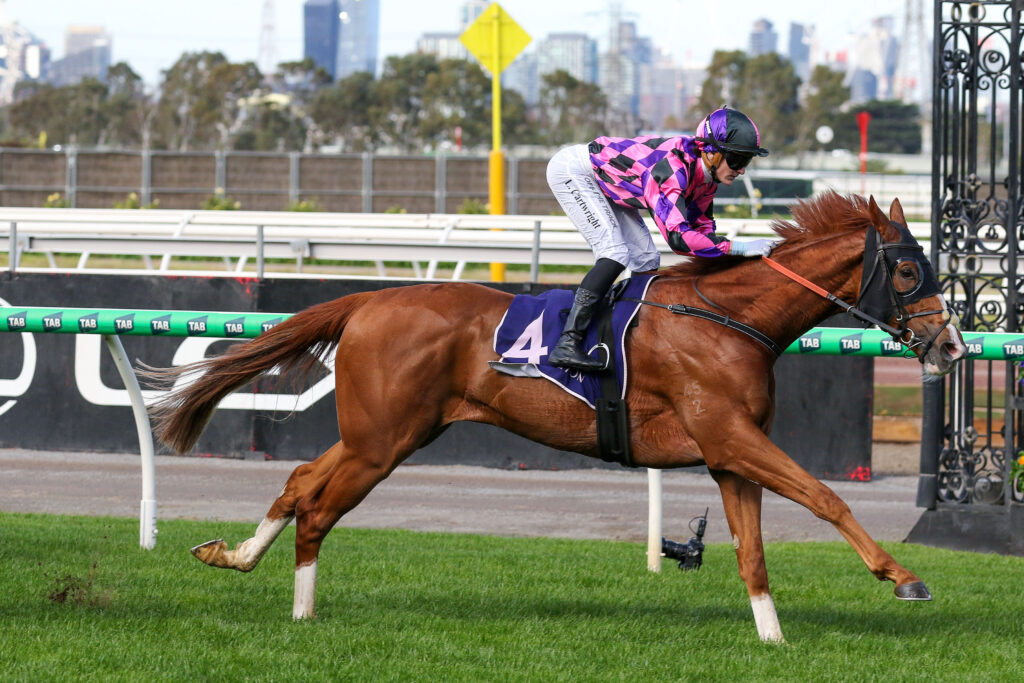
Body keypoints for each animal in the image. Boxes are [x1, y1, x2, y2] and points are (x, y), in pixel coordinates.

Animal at [143, 192, 966, 642]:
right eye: (906, 269)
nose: (952, 345)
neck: (730, 319)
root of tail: (368, 300)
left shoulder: (729, 452)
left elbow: (753, 553)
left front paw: (772, 637)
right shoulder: (731, 435)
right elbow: (828, 496)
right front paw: (904, 577)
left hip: (385, 432)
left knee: (299, 478)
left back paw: (236, 557)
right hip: (383, 438)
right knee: (317, 504)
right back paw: (301, 607)